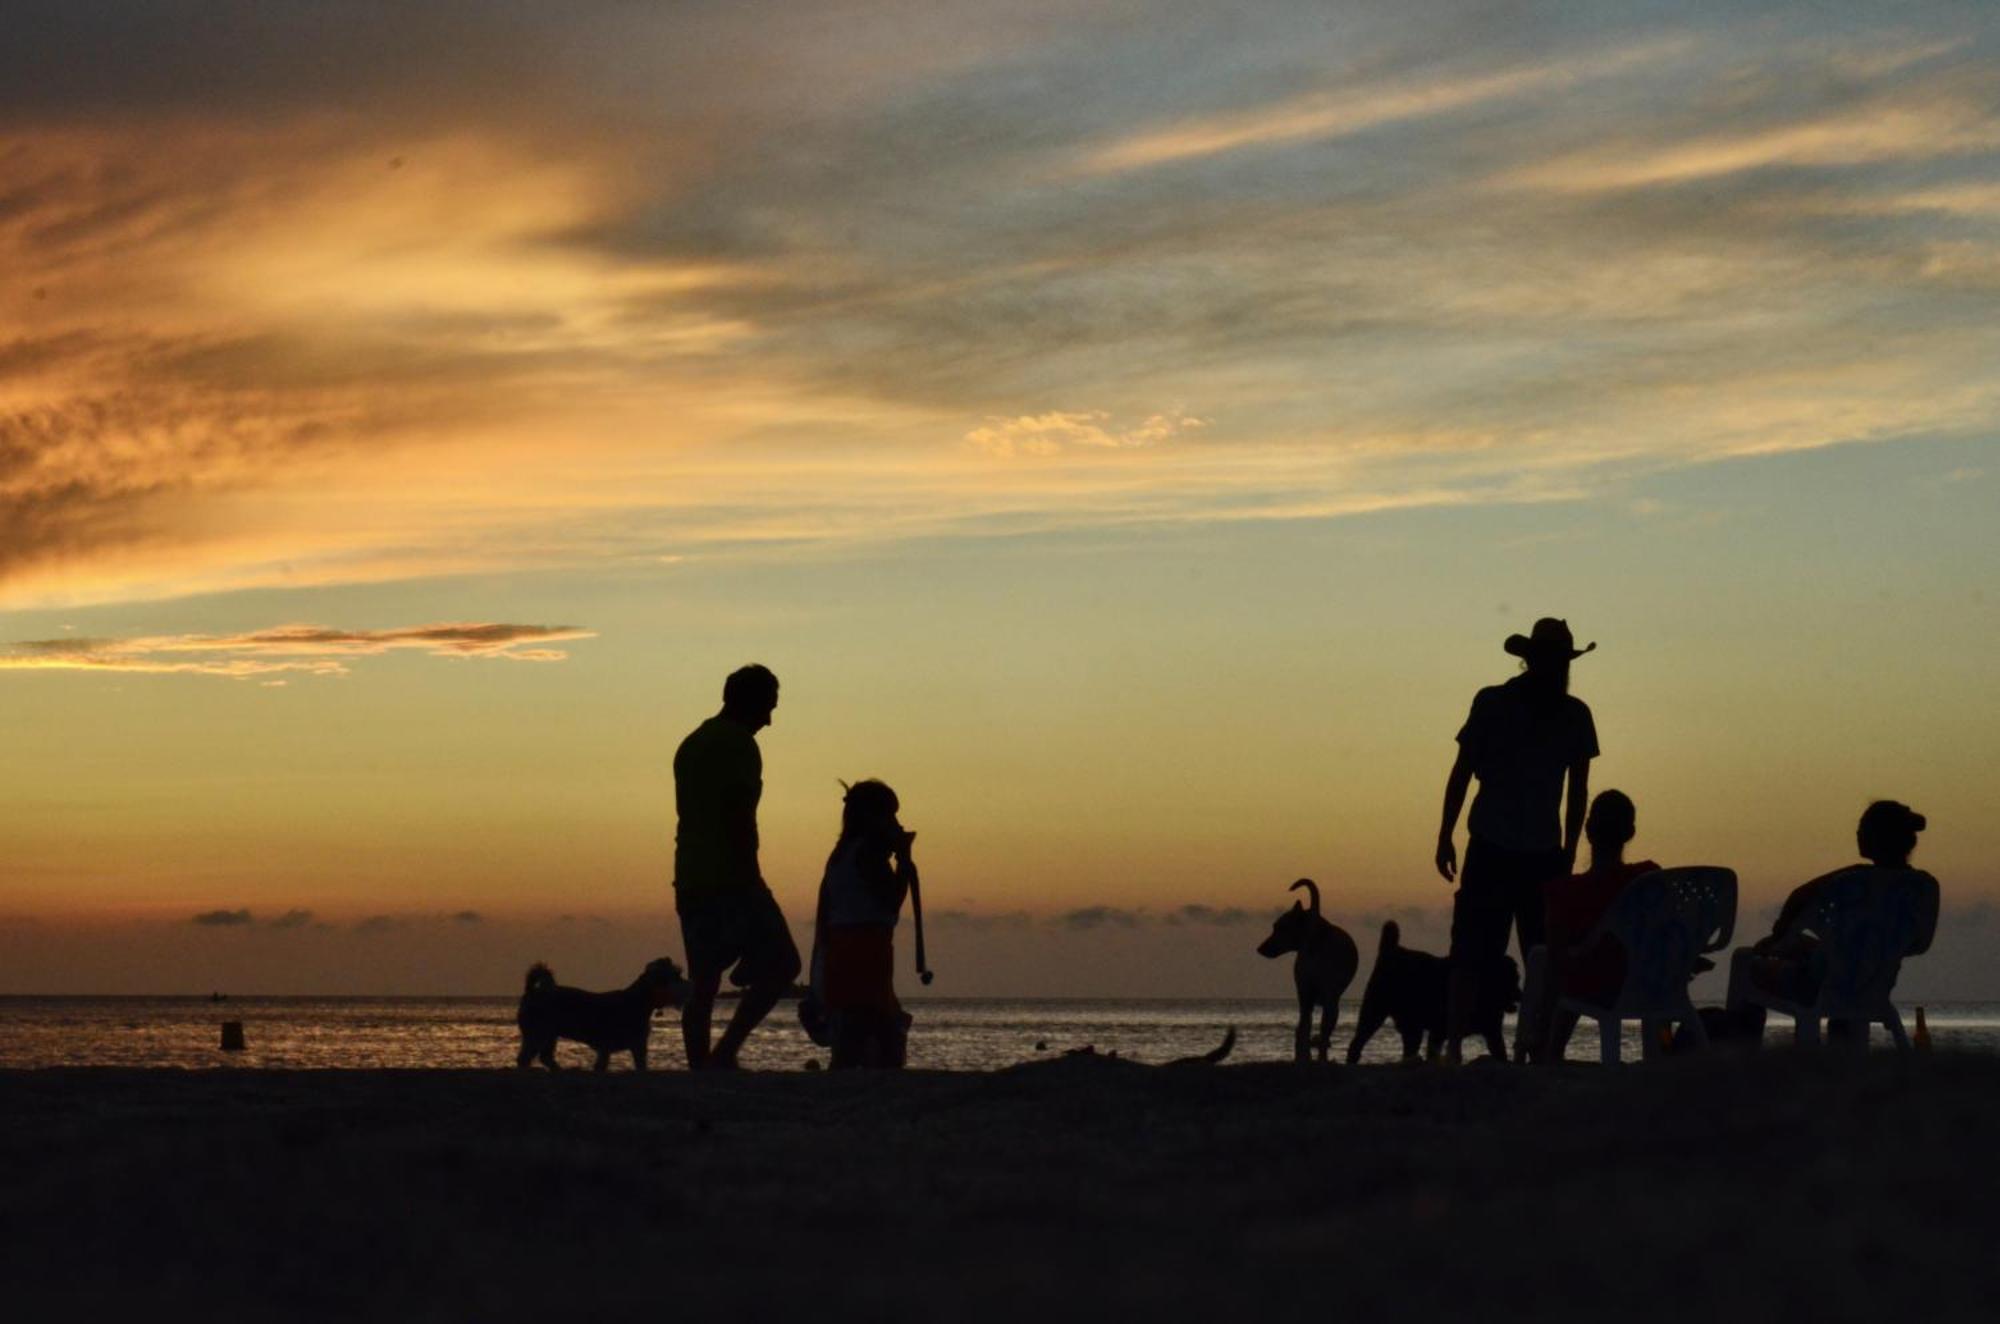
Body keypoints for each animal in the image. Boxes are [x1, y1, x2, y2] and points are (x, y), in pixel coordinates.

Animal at [516, 960, 688, 1072]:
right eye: (675, 975)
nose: (688, 984)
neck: (638, 1001)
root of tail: (532, 993)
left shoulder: (635, 1047)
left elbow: (639, 1066)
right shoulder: (610, 1047)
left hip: (548, 1036)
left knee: (543, 1057)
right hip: (538, 1034)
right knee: (526, 1058)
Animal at [1248, 880, 1360, 1072]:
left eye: (1279, 927)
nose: (1260, 949)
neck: (1314, 942)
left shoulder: (1320, 997)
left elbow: (1316, 1031)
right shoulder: (1318, 997)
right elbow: (1315, 1031)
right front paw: (1315, 1056)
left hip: (1314, 997)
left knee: (1307, 1028)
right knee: (1307, 1028)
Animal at [1344, 924, 1512, 1072]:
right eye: (1510, 977)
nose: (1517, 993)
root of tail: (1392, 950)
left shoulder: (1492, 1032)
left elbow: (1500, 1051)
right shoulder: (1439, 1031)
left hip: (1410, 1026)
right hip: (1374, 1012)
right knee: (1357, 1042)